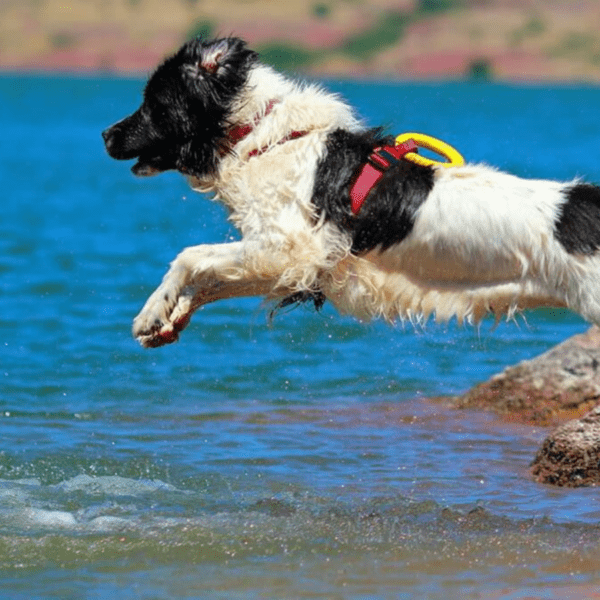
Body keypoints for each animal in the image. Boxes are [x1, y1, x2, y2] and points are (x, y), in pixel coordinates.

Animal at [102, 36, 600, 346]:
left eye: (153, 103)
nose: (105, 135)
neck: (259, 135)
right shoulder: (302, 264)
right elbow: (210, 278)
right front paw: (168, 319)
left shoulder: (289, 247)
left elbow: (190, 256)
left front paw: (151, 311)